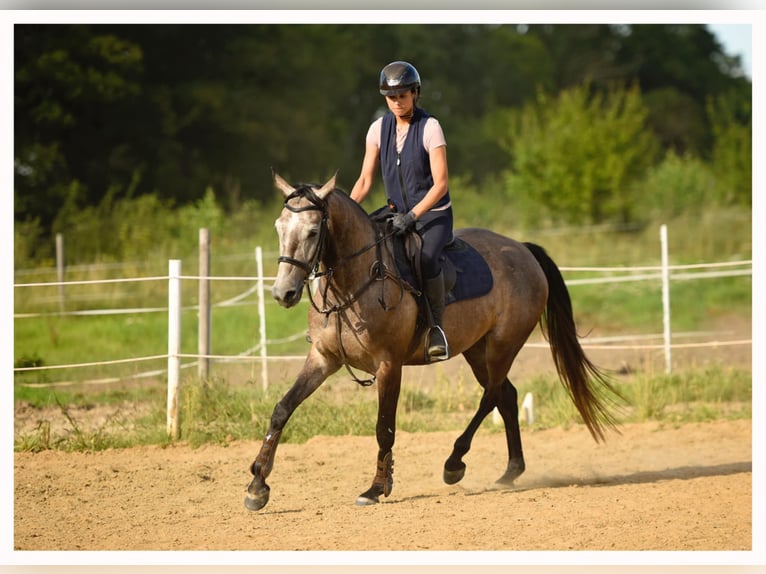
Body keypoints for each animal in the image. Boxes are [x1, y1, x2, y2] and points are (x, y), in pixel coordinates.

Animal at [244, 171, 621, 511]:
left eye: (312, 231)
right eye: (279, 228)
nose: (283, 293)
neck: (354, 284)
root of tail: (522, 250)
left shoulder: (389, 365)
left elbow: (384, 428)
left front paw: (375, 488)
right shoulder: (323, 358)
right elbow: (282, 409)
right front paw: (258, 484)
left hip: (503, 346)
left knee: (492, 396)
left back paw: (454, 463)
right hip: (476, 350)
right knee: (507, 396)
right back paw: (511, 471)